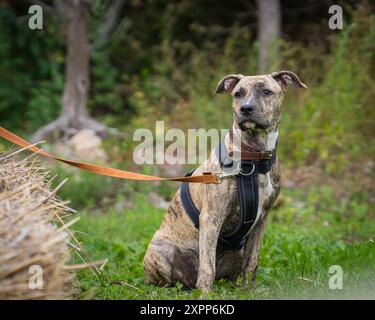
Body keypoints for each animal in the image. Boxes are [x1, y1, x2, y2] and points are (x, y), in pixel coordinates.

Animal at [142, 70, 306, 292]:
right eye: (238, 94)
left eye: (266, 91)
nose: (246, 108)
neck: (254, 159)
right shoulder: (211, 217)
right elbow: (207, 266)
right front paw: (205, 294)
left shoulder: (262, 220)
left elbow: (252, 262)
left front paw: (250, 290)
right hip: (162, 249)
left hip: (236, 252)